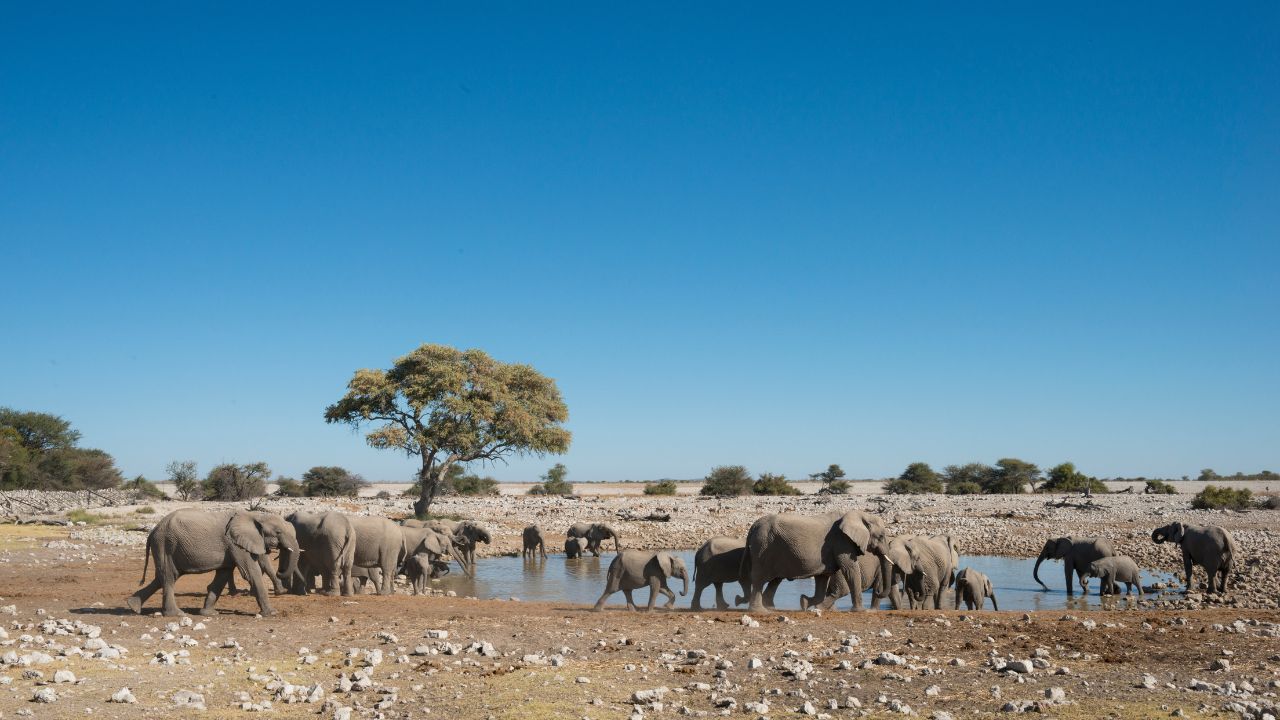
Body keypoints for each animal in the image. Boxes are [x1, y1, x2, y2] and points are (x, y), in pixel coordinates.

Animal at [127, 509, 299, 617]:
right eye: (278, 532)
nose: (280, 571)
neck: (255, 516)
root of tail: (152, 531)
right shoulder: (235, 544)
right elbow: (251, 572)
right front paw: (272, 613)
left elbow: (223, 575)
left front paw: (208, 614)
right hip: (165, 544)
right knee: (169, 577)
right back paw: (176, 614)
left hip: (165, 547)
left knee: (163, 577)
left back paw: (133, 606)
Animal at [742, 510, 890, 612]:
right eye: (881, 536)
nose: (877, 591)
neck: (859, 514)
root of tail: (753, 526)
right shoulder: (842, 542)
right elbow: (850, 569)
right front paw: (860, 611)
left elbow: (823, 576)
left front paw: (806, 603)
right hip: (763, 547)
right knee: (759, 579)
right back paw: (760, 611)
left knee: (775, 580)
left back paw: (771, 608)